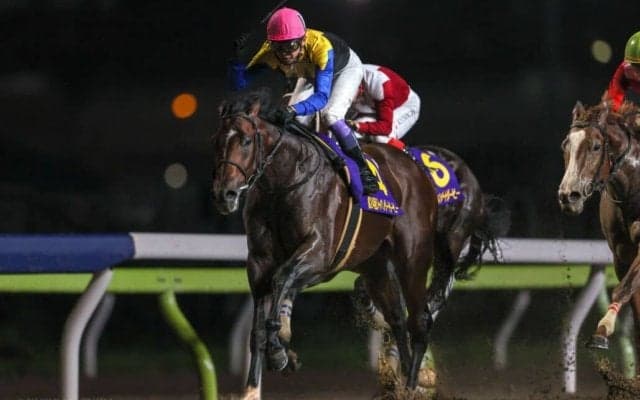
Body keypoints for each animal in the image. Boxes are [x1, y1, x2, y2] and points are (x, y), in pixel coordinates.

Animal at [211, 89, 447, 399]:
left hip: (413, 258)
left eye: (246, 141)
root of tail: (415, 169)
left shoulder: (320, 255)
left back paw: (411, 385)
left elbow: (281, 279)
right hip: (376, 266)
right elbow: (258, 327)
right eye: (217, 141)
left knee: (419, 320)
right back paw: (404, 381)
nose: (224, 194)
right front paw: (253, 387)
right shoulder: (259, 263)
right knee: (397, 318)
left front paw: (280, 352)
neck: (286, 182)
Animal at [557, 96, 640, 361]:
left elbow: (624, 289)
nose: (568, 196)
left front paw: (602, 331)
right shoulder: (621, 254)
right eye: (566, 145)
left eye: (595, 146)